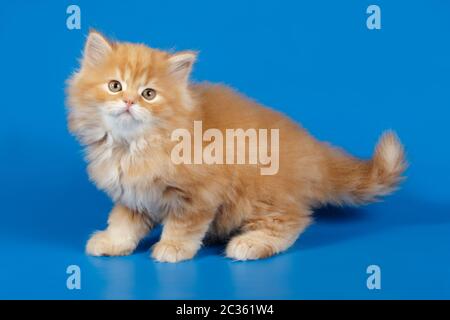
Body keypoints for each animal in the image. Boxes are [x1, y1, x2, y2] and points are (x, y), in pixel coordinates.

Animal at [67, 30, 408, 262]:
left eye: (149, 94)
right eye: (115, 86)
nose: (128, 101)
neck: (133, 146)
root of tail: (314, 152)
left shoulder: (200, 194)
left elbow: (184, 225)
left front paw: (173, 248)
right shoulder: (134, 195)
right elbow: (123, 222)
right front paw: (113, 242)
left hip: (259, 193)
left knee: (294, 220)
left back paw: (250, 243)